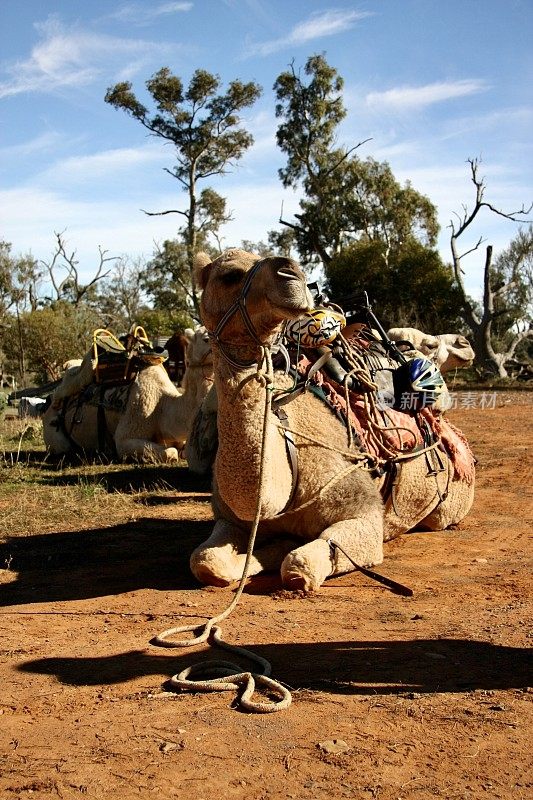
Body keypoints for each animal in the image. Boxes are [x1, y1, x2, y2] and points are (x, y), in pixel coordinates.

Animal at [42, 326, 212, 462]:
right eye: (205, 339)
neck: (164, 406)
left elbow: (181, 450)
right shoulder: (126, 436)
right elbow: (171, 452)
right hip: (55, 436)